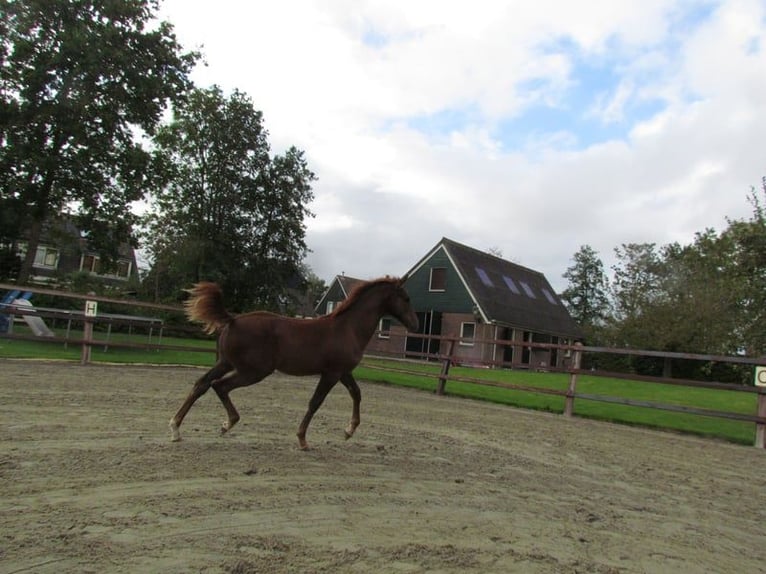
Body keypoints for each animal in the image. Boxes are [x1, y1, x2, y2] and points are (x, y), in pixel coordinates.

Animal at [170, 278, 420, 450]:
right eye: (406, 298)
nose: (416, 325)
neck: (348, 328)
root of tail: (233, 320)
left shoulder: (343, 372)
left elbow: (356, 394)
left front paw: (348, 431)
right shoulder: (331, 373)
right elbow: (315, 402)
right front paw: (302, 439)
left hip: (226, 363)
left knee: (202, 384)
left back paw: (176, 429)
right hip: (253, 371)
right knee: (219, 386)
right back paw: (226, 424)